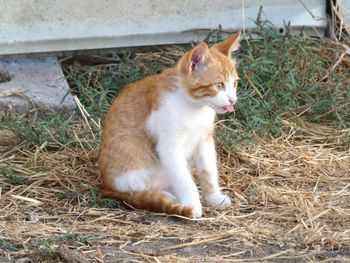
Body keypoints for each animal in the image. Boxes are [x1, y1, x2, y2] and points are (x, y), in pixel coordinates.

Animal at [98, 32, 241, 220]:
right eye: (219, 85)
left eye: (234, 84)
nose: (232, 100)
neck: (194, 108)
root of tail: (106, 186)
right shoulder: (169, 147)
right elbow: (184, 180)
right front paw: (192, 204)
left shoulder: (204, 140)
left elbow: (208, 171)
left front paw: (213, 197)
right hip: (130, 167)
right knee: (140, 193)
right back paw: (170, 199)